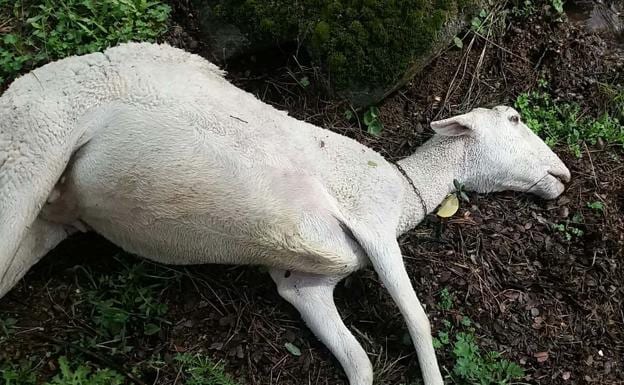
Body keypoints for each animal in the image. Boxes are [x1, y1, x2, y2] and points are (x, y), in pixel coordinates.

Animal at [0, 42, 572, 384]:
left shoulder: (306, 285)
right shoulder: (374, 225)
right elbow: (418, 320)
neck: (406, 190)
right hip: (30, 150)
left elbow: (360, 362)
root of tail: (18, 90)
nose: (564, 175)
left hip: (49, 216)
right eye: (514, 118)